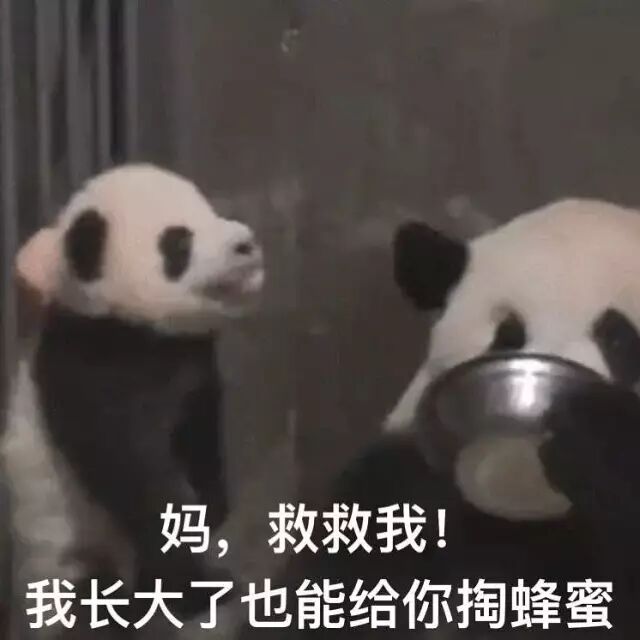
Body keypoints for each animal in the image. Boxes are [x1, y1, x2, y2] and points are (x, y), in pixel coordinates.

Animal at [2, 163, 265, 636]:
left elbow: (199, 428)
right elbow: (131, 469)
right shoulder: (95, 368)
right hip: (62, 548)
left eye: (210, 211)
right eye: (178, 242)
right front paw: (196, 574)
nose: (244, 243)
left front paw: (213, 508)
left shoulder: (192, 367)